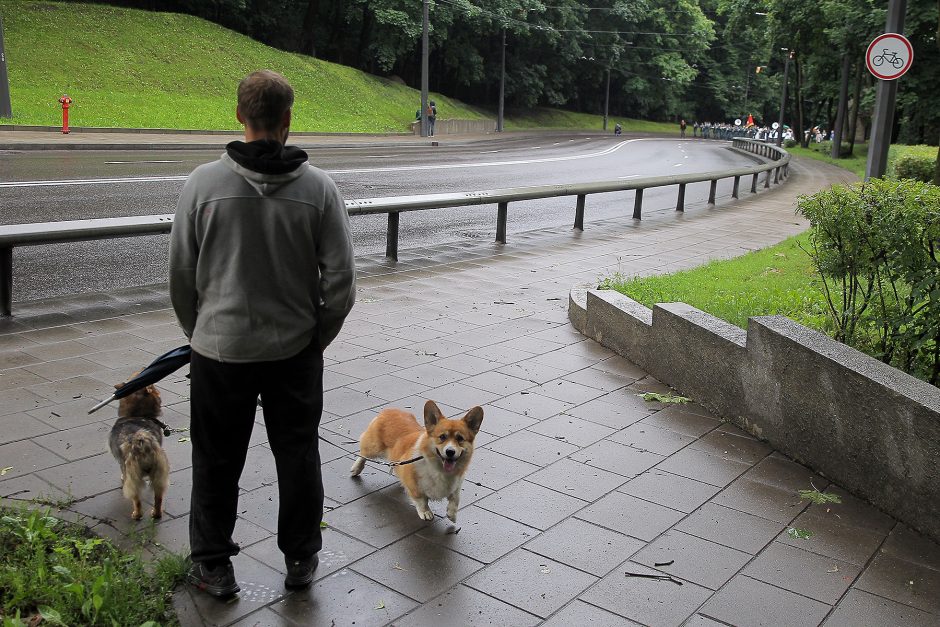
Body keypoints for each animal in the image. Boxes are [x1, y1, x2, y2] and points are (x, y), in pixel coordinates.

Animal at [107, 382, 170, 520]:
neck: (137, 415)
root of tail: (141, 441)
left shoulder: (122, 465)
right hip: (159, 473)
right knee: (158, 497)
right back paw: (156, 514)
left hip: (133, 476)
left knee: (136, 499)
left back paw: (136, 514)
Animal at [350, 400, 484, 524]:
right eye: (442, 437)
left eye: (460, 438)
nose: (450, 451)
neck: (439, 469)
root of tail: (388, 410)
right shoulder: (414, 484)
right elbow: (421, 499)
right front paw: (425, 512)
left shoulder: (456, 484)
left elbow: (455, 498)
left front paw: (452, 514)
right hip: (374, 448)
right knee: (363, 453)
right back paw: (356, 468)